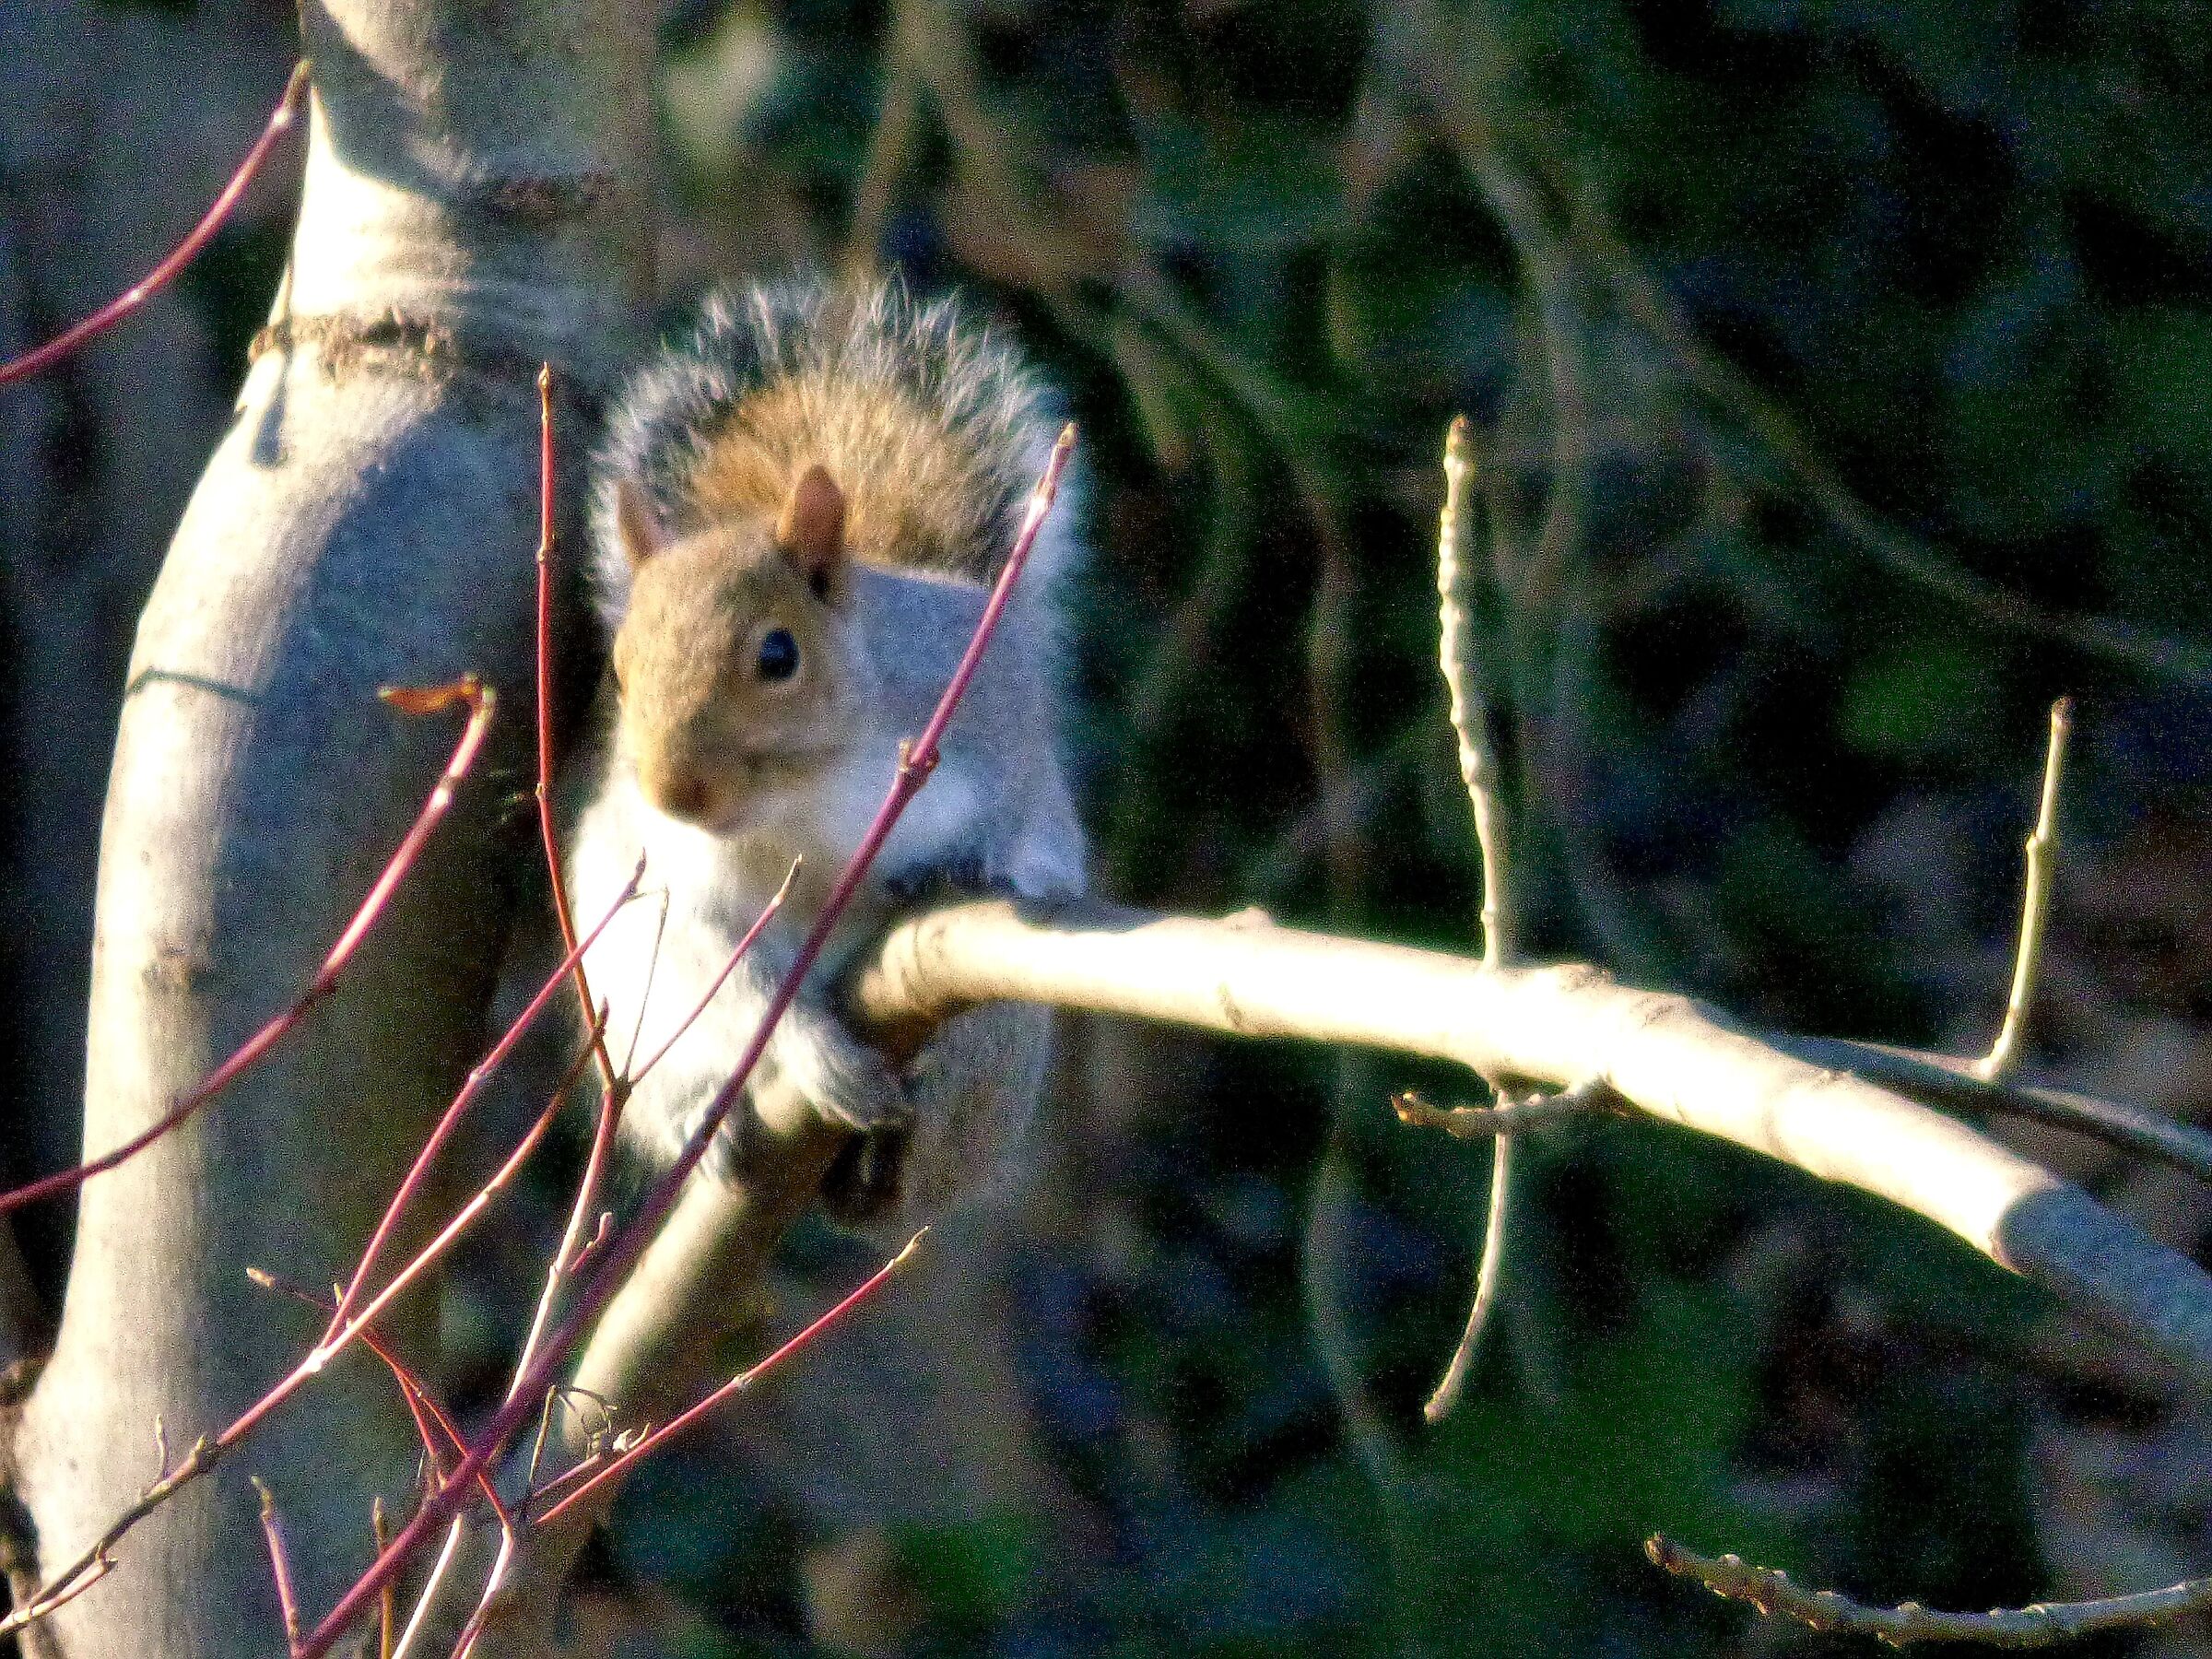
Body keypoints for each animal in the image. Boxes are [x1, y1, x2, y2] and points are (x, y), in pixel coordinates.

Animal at [565, 278, 1086, 1227]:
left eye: (779, 655)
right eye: (618, 670)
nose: (674, 792)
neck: (803, 797)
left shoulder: (995, 722)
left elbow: (1028, 823)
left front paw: (975, 861)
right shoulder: (675, 875)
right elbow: (723, 963)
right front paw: (815, 1053)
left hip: (991, 1060)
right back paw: (705, 1116)